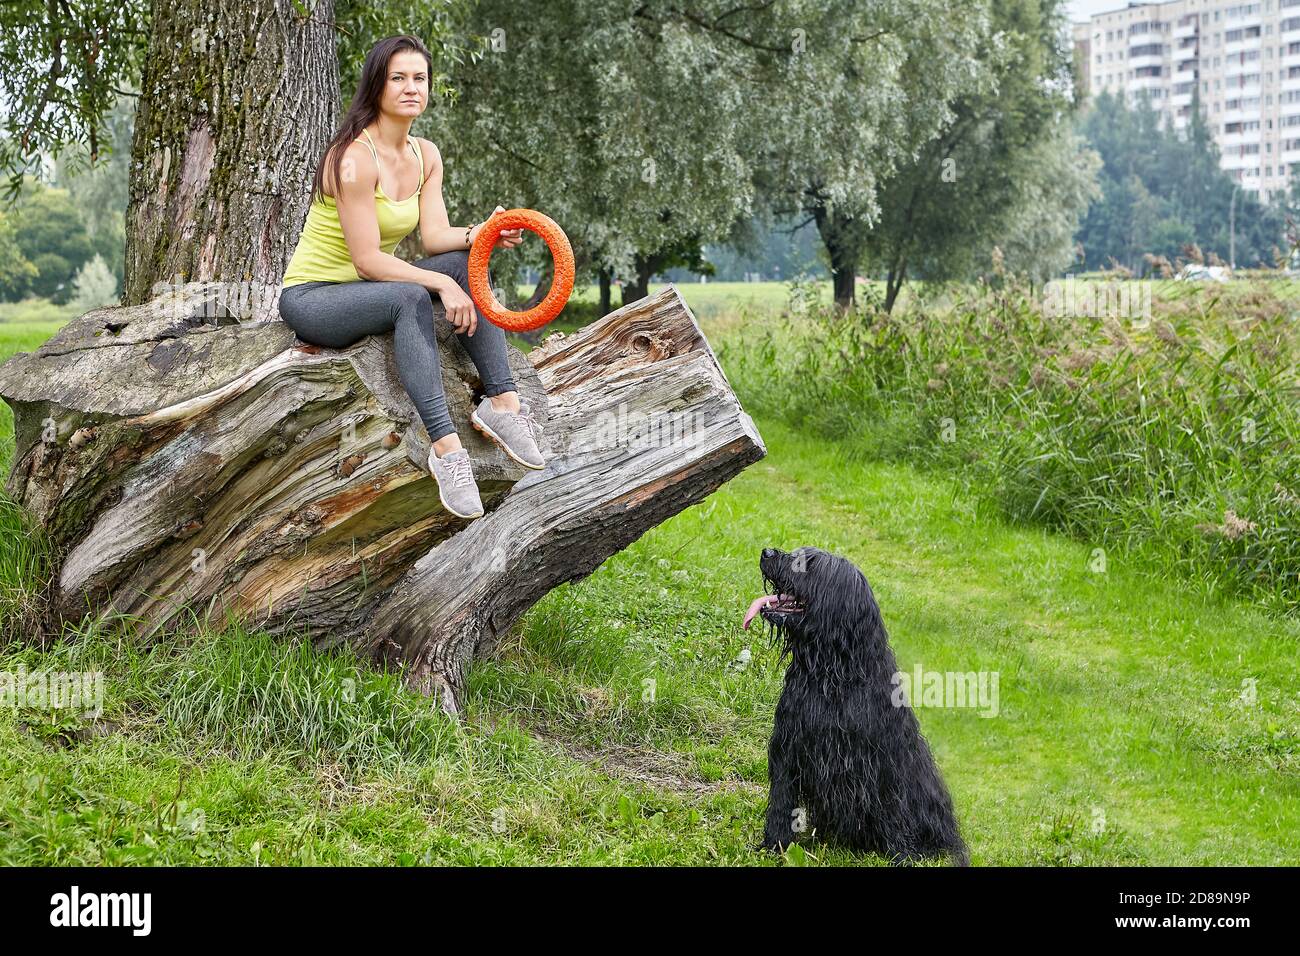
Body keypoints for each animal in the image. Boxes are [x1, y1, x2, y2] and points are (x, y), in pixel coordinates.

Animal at [743, 546, 967, 868]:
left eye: (809, 563)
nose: (767, 551)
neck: (830, 674)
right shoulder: (787, 748)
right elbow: (781, 804)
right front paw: (774, 845)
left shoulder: (881, 760)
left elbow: (895, 810)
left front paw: (902, 855)